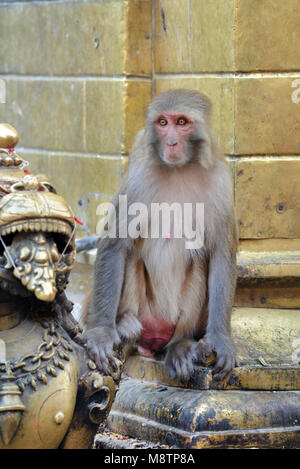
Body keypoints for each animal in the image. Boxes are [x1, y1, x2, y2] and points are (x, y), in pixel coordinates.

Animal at [83, 88, 238, 384]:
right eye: (163, 123)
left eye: (182, 122)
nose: (172, 142)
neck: (179, 170)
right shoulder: (138, 179)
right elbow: (115, 244)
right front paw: (102, 331)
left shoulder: (221, 183)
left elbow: (220, 255)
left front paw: (220, 339)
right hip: (145, 314)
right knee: (131, 255)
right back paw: (125, 325)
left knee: (199, 263)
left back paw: (180, 346)